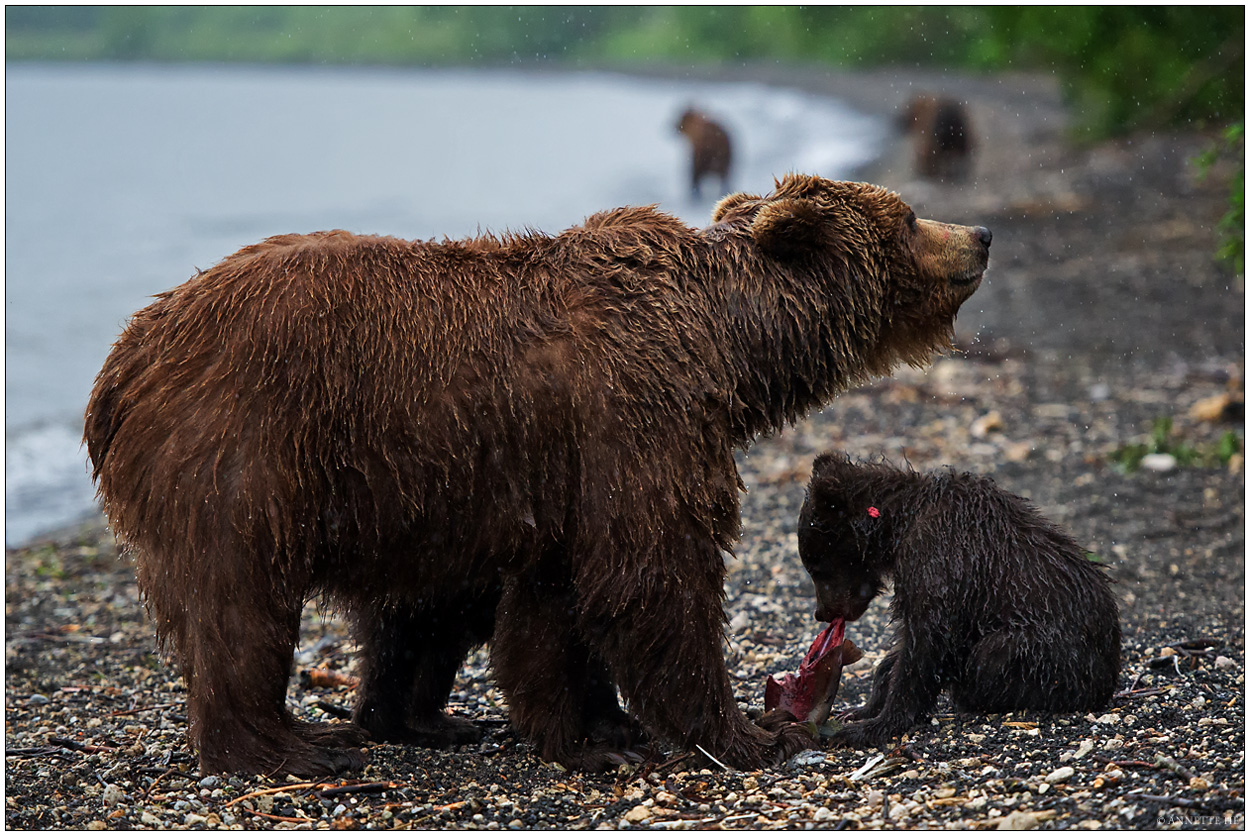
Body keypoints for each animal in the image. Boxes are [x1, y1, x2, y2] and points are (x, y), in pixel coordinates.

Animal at [83, 174, 990, 774]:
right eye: (910, 216)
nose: (981, 235)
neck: (726, 341)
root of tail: (118, 363)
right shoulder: (638, 415)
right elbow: (654, 578)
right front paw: (746, 733)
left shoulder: (567, 468)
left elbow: (559, 605)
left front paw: (596, 727)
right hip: (242, 445)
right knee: (240, 606)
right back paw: (294, 745)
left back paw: (401, 721)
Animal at [800, 452, 1125, 744]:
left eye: (815, 565)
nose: (820, 612)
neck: (898, 525)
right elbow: (905, 644)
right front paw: (859, 710)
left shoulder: (940, 560)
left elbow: (927, 643)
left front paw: (872, 726)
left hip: (1057, 652)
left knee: (994, 654)